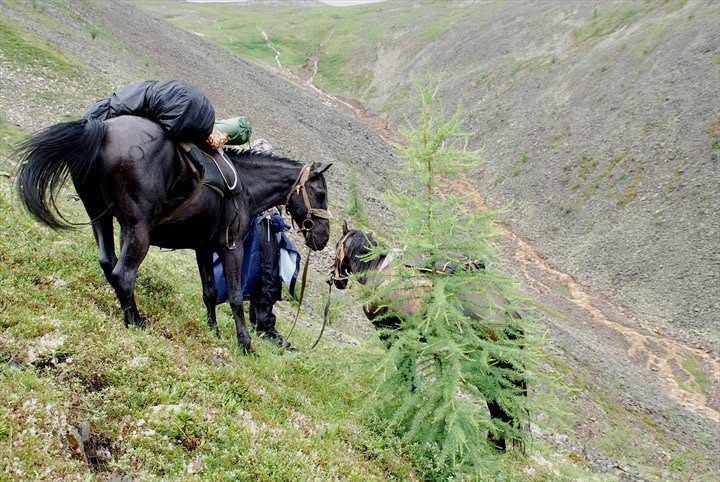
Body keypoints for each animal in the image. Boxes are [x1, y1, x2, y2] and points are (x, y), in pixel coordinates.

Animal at [14, 115, 331, 352]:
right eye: (320, 193)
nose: (324, 237)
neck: (246, 188)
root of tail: (102, 128)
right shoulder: (231, 247)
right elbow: (235, 297)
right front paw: (245, 344)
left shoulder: (203, 248)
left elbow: (210, 292)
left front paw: (213, 332)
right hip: (138, 230)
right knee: (123, 274)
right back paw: (136, 321)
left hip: (100, 217)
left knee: (107, 262)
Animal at [330, 221, 527, 450]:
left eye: (337, 244)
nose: (335, 279)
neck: (379, 268)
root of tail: (509, 315)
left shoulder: (390, 333)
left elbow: (405, 372)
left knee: (498, 406)